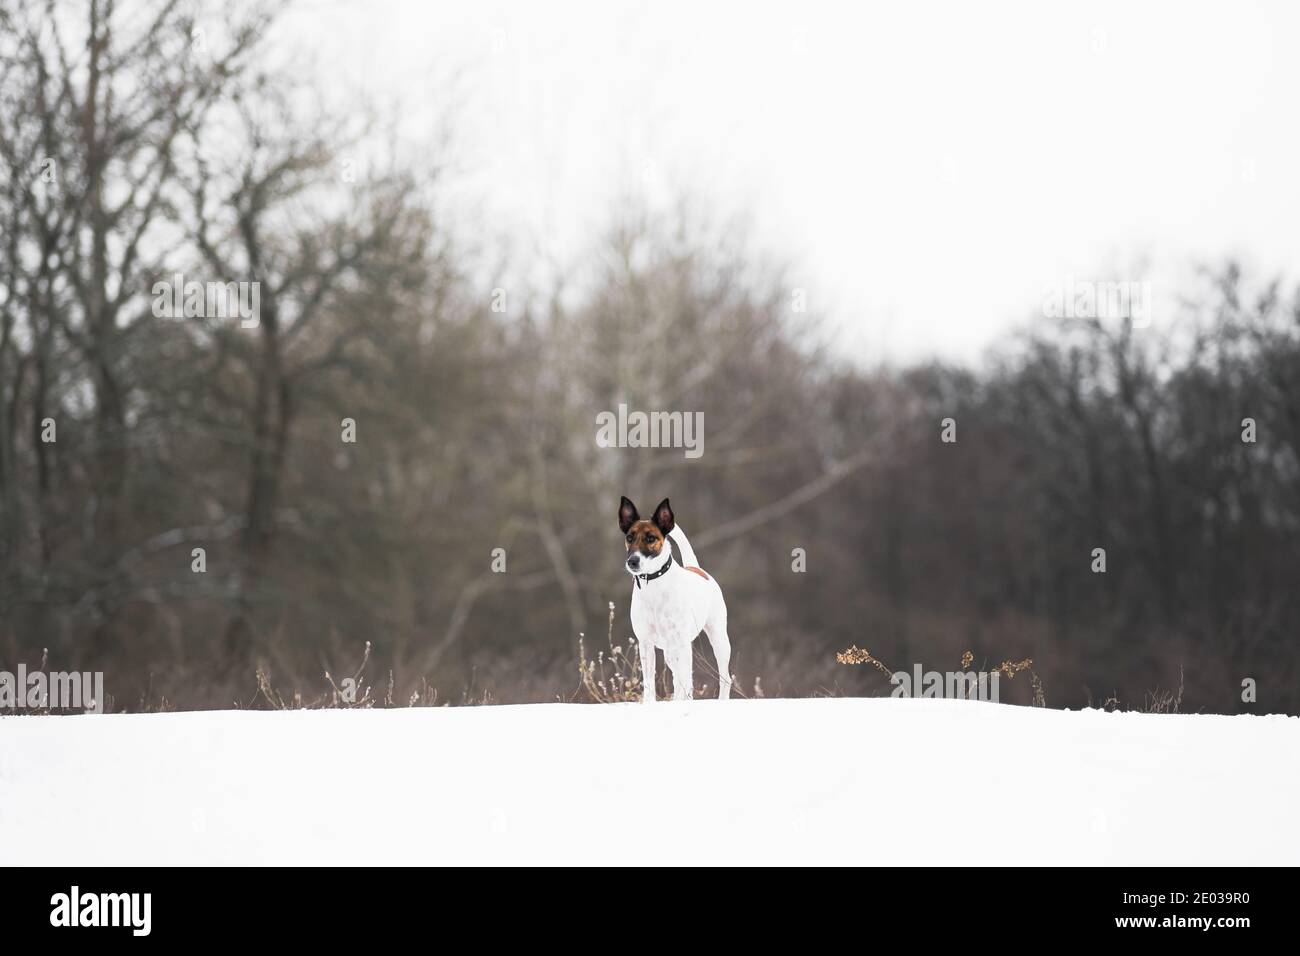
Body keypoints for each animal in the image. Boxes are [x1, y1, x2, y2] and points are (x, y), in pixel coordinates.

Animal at [618, 496, 733, 697]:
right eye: (629, 538)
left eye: (651, 538)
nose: (632, 561)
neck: (653, 585)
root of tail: (696, 568)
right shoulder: (646, 643)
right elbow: (649, 684)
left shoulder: (682, 644)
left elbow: (684, 684)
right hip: (670, 652)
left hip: (718, 639)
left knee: (724, 678)